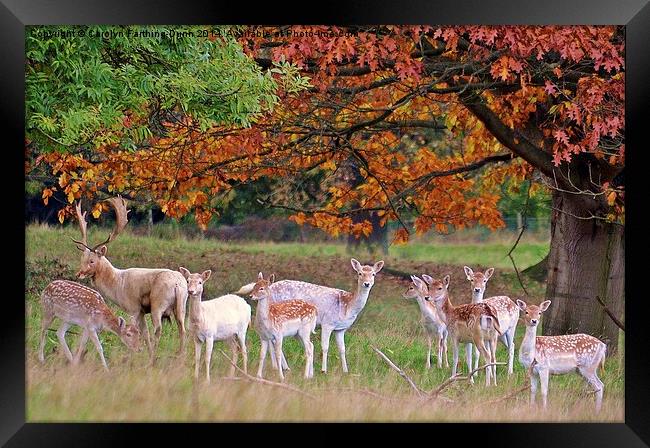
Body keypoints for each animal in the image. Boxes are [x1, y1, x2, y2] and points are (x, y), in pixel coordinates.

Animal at [74, 198, 190, 358]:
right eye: (82, 259)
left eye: (92, 261)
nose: (79, 274)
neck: (117, 285)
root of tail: (177, 285)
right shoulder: (141, 311)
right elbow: (145, 333)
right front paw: (146, 352)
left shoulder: (133, 308)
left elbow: (136, 330)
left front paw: (133, 353)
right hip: (182, 305)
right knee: (182, 330)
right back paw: (180, 356)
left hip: (158, 303)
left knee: (158, 329)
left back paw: (156, 356)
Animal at [235, 258, 382, 372]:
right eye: (359, 273)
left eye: (374, 274)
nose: (367, 283)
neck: (347, 306)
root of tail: (270, 287)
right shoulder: (328, 323)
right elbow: (325, 347)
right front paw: (323, 370)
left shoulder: (340, 329)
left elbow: (342, 349)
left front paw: (346, 371)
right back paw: (283, 367)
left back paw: (277, 367)